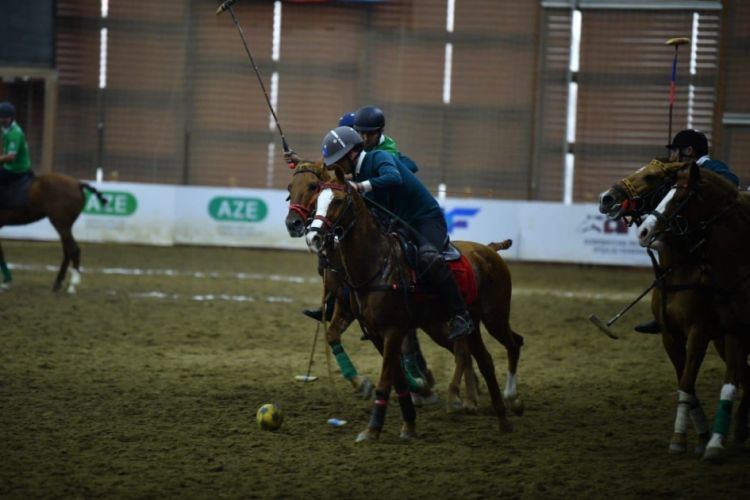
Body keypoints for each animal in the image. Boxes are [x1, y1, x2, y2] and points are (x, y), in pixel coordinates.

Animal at [304, 165, 524, 442]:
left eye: (338, 201)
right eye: (316, 202)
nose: (313, 237)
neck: (376, 265)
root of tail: (490, 250)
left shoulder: (393, 329)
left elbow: (386, 380)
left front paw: (372, 429)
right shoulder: (375, 332)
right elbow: (396, 377)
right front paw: (408, 423)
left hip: (494, 315)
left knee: (512, 343)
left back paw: (508, 398)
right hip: (462, 323)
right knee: (483, 359)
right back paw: (501, 419)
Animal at [640, 163, 750, 460]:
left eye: (679, 198)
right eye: (663, 193)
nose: (643, 231)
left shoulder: (699, 331)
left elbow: (689, 382)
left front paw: (686, 438)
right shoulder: (672, 334)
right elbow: (686, 382)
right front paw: (702, 438)